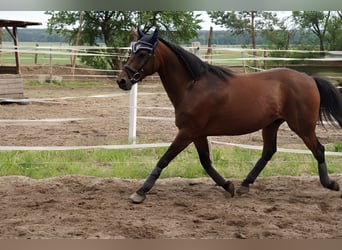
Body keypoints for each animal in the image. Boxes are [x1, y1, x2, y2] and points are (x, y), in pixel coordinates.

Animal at [117, 27, 342, 203]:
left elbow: (164, 159)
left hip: (302, 126)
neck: (192, 87)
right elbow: (206, 163)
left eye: (143, 53)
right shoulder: (198, 134)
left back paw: (330, 183)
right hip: (271, 124)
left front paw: (140, 192)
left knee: (319, 150)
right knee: (268, 152)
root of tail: (309, 78)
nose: (122, 80)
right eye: (132, 51)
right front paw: (228, 186)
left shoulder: (187, 132)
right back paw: (244, 185)